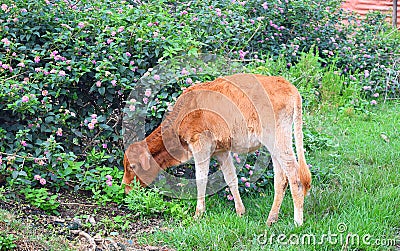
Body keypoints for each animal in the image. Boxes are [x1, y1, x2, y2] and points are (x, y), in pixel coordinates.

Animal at [123, 72, 310, 226]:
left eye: (132, 166)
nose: (125, 188)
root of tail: (289, 86)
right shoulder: (221, 151)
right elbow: (231, 179)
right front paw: (240, 212)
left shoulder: (200, 145)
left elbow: (201, 179)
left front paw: (198, 214)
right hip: (275, 145)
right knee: (281, 178)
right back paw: (271, 219)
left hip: (277, 140)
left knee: (294, 175)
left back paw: (298, 222)